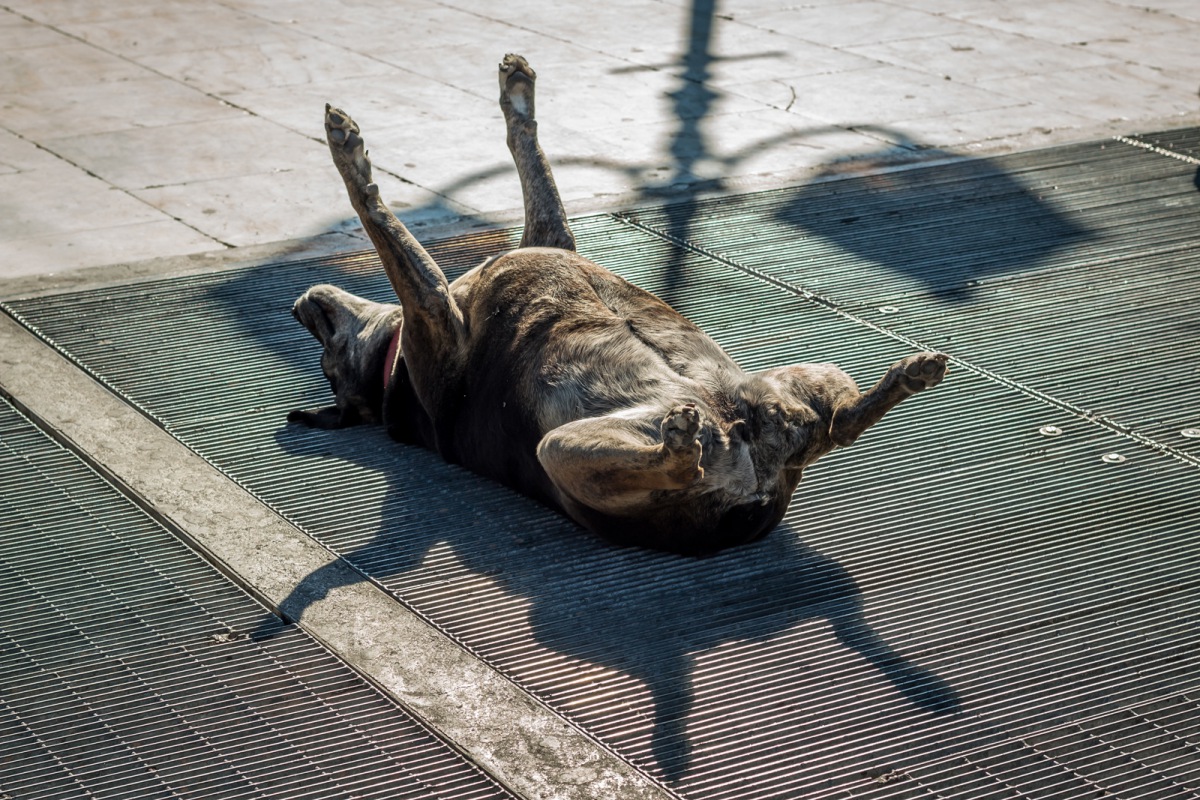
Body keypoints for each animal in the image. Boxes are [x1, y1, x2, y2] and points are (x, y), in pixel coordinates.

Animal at [288, 54, 945, 556]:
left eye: (325, 357)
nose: (302, 308)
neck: (390, 369)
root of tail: (749, 502)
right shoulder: (435, 320)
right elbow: (388, 231)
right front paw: (349, 156)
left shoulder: (546, 240)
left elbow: (533, 172)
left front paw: (517, 95)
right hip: (564, 448)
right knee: (695, 458)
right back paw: (681, 444)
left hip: (796, 377)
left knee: (838, 423)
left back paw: (901, 380)